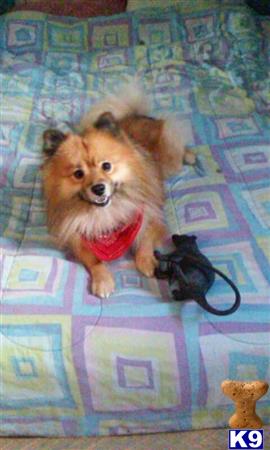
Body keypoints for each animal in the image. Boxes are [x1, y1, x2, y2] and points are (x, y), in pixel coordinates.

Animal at [41, 82, 195, 298]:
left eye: (106, 166)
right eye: (78, 174)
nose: (98, 188)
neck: (106, 214)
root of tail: (135, 115)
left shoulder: (149, 215)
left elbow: (145, 241)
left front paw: (147, 261)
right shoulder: (76, 237)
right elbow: (93, 259)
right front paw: (103, 280)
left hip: (170, 158)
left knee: (179, 145)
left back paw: (190, 155)